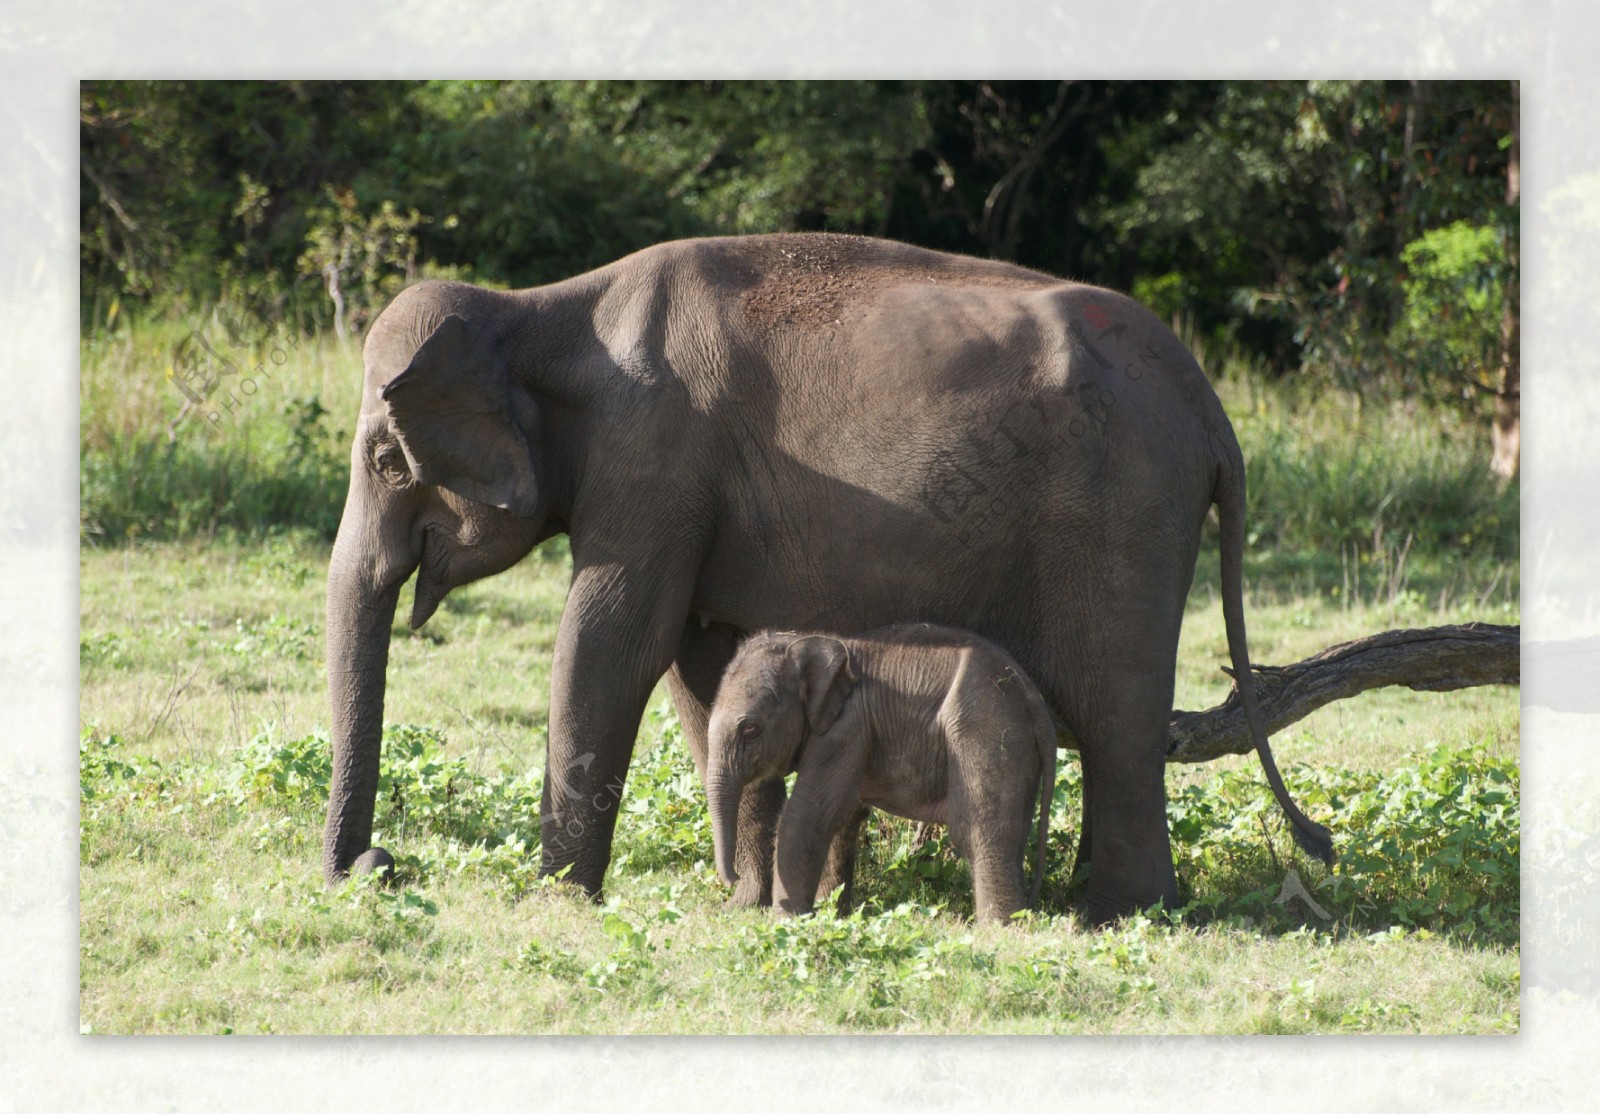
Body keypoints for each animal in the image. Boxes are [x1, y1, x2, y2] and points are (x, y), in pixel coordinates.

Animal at [704, 627, 1056, 921]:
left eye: (750, 729)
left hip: (986, 735)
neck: (803, 639)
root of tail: (1033, 699)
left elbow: (805, 816)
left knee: (979, 828)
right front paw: (831, 913)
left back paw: (999, 929)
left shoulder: (845, 733)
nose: (733, 877)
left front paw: (788, 923)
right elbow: (841, 819)